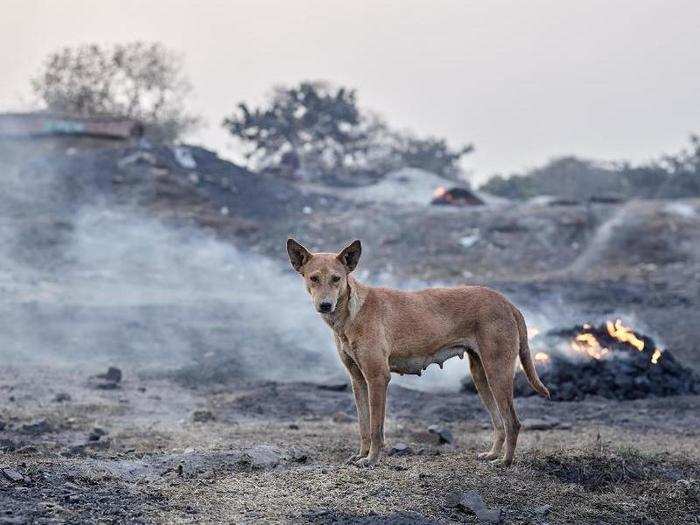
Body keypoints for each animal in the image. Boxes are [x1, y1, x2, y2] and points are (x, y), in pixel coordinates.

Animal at [288, 239, 548, 464]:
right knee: (499, 422)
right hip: (481, 376)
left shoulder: (377, 378)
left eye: (336, 279)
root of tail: (508, 303)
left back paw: (505, 462)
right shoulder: (358, 380)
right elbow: (363, 425)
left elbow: (376, 427)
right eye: (313, 278)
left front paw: (371, 459)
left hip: (497, 372)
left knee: (512, 422)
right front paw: (361, 455)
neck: (351, 314)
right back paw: (493, 454)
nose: (325, 305)